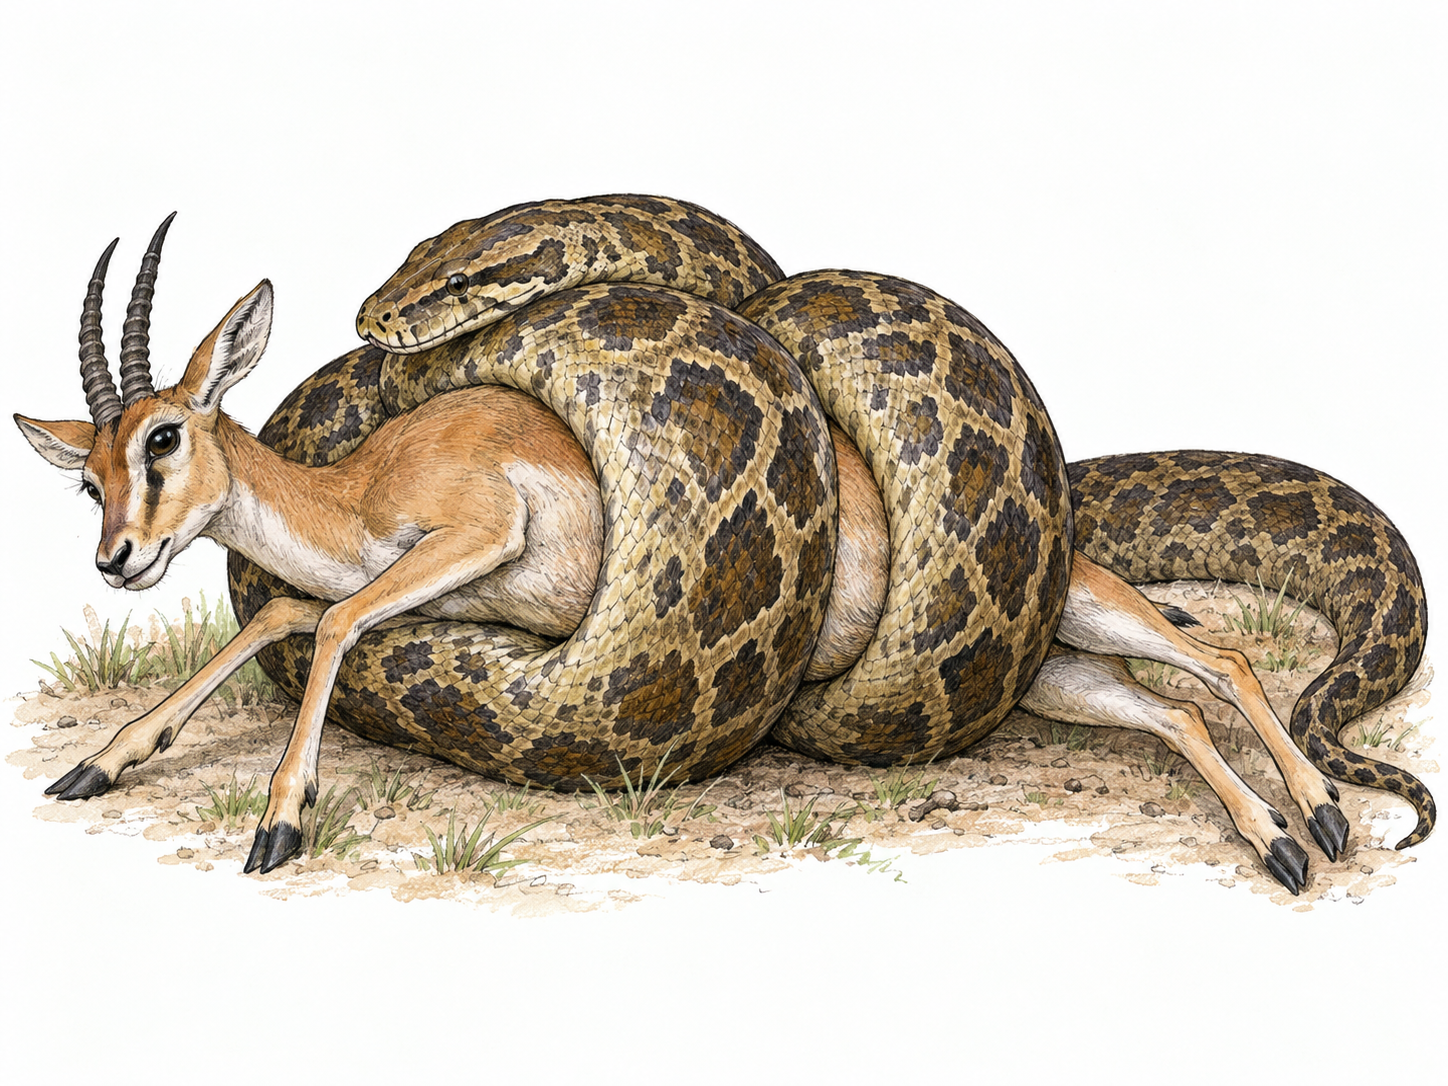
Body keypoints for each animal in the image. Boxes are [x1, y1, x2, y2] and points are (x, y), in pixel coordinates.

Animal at [18, 216, 1341, 890]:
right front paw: (104, 759)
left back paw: (1320, 810)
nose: (117, 559)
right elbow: (287, 617)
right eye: (85, 477)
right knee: (1170, 709)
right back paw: (1279, 835)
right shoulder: (427, 593)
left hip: (1084, 611)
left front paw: (280, 822)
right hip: (1048, 673)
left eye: (166, 439)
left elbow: (331, 619)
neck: (349, 493)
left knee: (1220, 657)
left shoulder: (479, 533)